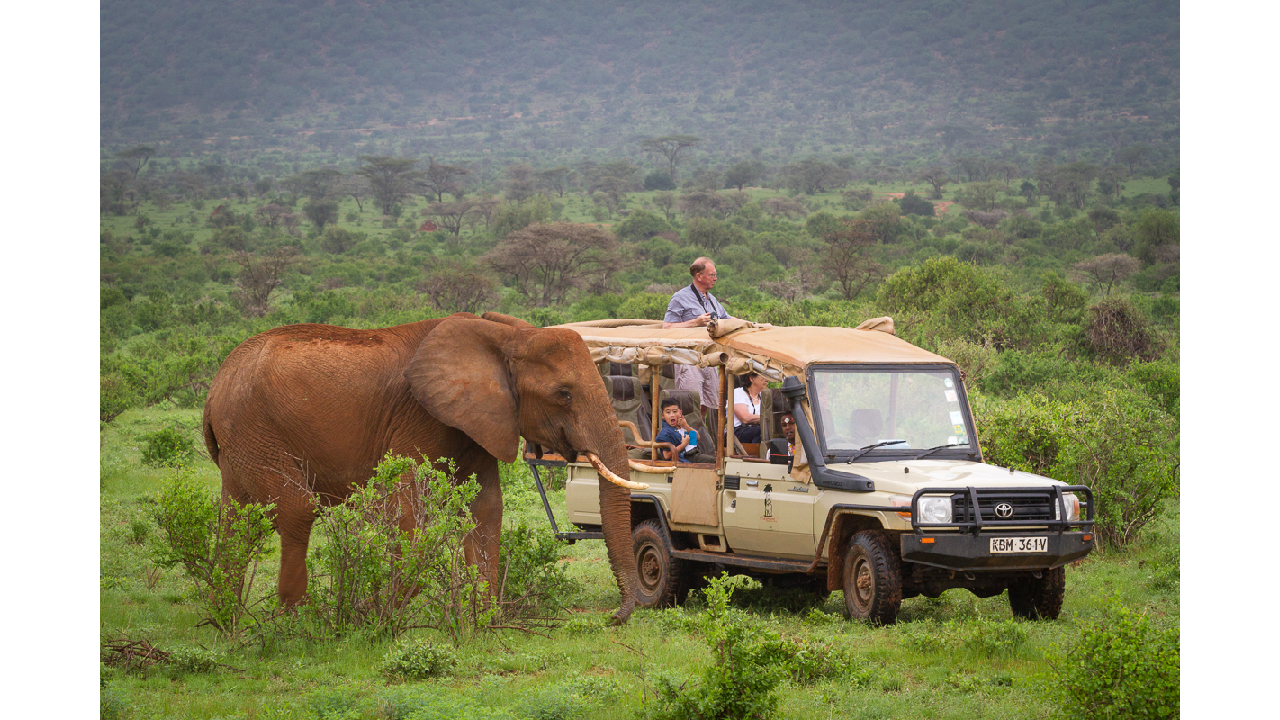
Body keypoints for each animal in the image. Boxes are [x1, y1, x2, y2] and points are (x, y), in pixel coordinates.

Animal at [204, 311, 645, 620]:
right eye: (564, 394)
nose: (614, 616)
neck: (505, 337)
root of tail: (216, 384)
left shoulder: (478, 420)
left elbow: (486, 507)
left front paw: (483, 619)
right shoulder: (420, 416)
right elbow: (408, 505)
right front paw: (374, 613)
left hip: (242, 442)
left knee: (236, 519)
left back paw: (227, 616)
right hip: (255, 427)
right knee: (296, 509)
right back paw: (292, 621)